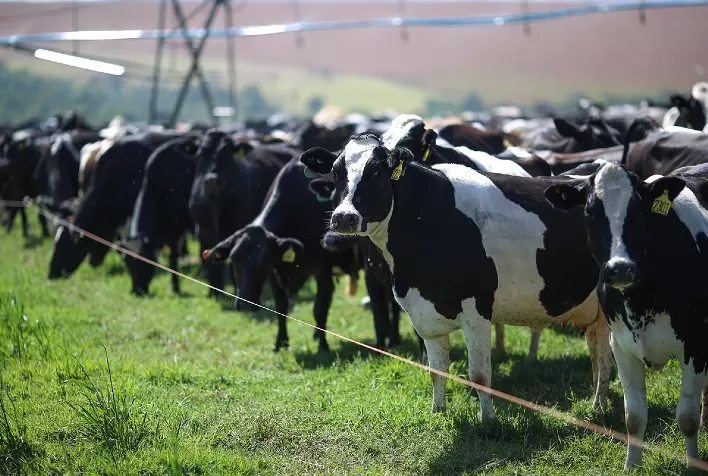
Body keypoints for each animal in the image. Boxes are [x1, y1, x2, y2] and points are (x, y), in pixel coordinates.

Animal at [125, 135, 198, 296]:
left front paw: (175, 287)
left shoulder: (177, 229)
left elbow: (173, 259)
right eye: (127, 263)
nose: (137, 291)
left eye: (144, 262)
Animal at [202, 156, 359, 352]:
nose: (245, 305)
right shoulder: (275, 274)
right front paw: (280, 343)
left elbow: (319, 309)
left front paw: (323, 345)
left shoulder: (323, 272)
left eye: (262, 261)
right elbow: (281, 308)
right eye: (234, 260)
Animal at [300, 133, 614, 421]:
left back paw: (599, 408)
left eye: (376, 172)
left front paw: (488, 420)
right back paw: (598, 404)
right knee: (599, 354)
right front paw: (438, 411)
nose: (344, 217)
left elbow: (479, 375)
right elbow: (436, 371)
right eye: (336, 172)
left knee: (606, 359)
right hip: (594, 310)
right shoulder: (423, 312)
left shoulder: (477, 308)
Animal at [544, 161, 708, 472]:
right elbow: (634, 416)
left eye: (639, 212)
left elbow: (688, 416)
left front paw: (694, 464)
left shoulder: (695, 344)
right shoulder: (621, 344)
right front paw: (631, 466)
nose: (620, 268)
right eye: (590, 213)